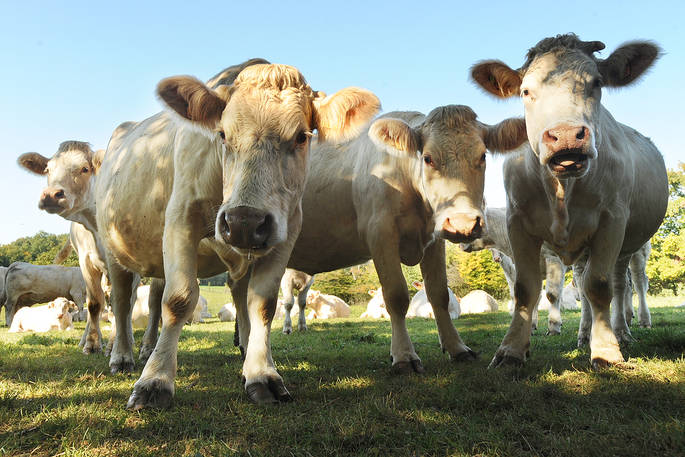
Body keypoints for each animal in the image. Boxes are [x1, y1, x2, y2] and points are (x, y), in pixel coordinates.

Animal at [93, 60, 379, 408]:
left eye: (301, 136)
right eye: (222, 134)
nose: (244, 221)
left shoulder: (286, 229)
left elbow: (263, 303)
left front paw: (261, 373)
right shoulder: (180, 218)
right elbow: (178, 299)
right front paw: (155, 381)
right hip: (113, 248)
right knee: (122, 300)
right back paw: (122, 356)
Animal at [282, 105, 528, 375]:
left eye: (482, 156)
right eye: (428, 158)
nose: (463, 223)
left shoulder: (434, 239)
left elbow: (439, 293)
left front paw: (456, 347)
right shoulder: (380, 233)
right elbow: (396, 296)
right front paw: (403, 356)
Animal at [470, 34, 668, 368]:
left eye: (597, 83)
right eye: (526, 91)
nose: (565, 135)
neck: (561, 189)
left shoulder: (612, 221)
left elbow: (598, 286)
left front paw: (606, 351)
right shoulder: (518, 224)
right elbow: (525, 290)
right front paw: (512, 350)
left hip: (634, 245)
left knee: (625, 284)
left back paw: (625, 329)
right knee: (591, 285)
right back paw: (586, 334)